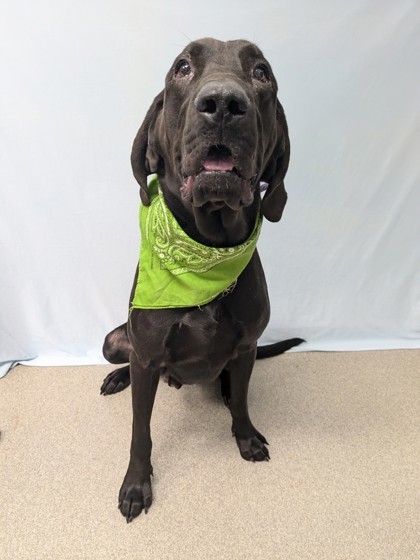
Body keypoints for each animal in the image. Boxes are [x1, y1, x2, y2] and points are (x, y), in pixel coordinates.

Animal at [103, 38, 304, 520]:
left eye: (262, 72)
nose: (224, 104)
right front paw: (136, 484)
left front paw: (246, 437)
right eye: (182, 67)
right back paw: (117, 379)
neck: (205, 255)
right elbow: (140, 429)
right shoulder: (146, 356)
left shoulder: (247, 347)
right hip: (115, 342)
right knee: (125, 360)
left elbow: (244, 402)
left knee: (231, 389)